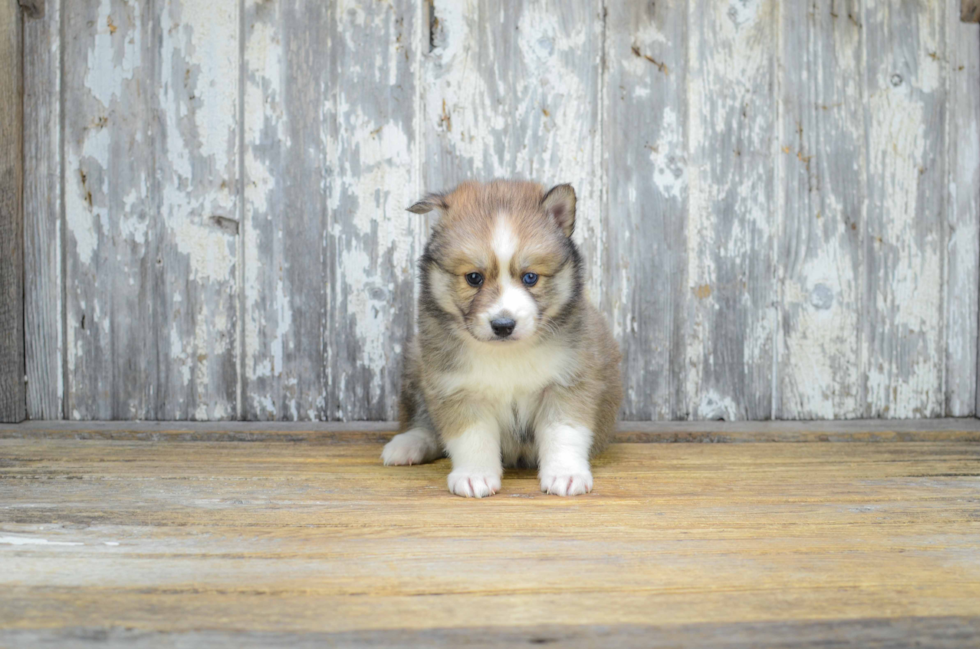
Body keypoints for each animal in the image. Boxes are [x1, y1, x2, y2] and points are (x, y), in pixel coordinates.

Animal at [380, 180, 620, 498]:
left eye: (530, 277)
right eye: (473, 278)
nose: (503, 325)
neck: (507, 354)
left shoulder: (569, 382)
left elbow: (564, 432)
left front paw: (565, 474)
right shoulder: (456, 387)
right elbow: (472, 437)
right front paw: (475, 475)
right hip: (415, 361)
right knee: (423, 421)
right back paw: (407, 445)